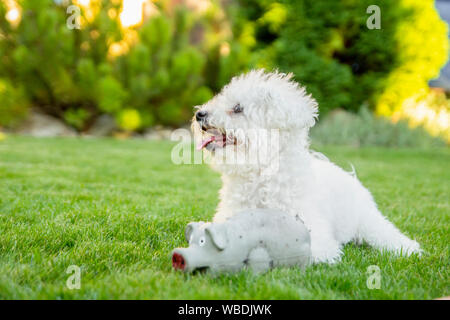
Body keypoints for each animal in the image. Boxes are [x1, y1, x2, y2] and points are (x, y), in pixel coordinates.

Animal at [192, 69, 422, 262]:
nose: (199, 114)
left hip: (367, 220)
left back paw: (408, 248)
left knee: (384, 232)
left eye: (238, 108)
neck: (262, 173)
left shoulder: (313, 234)